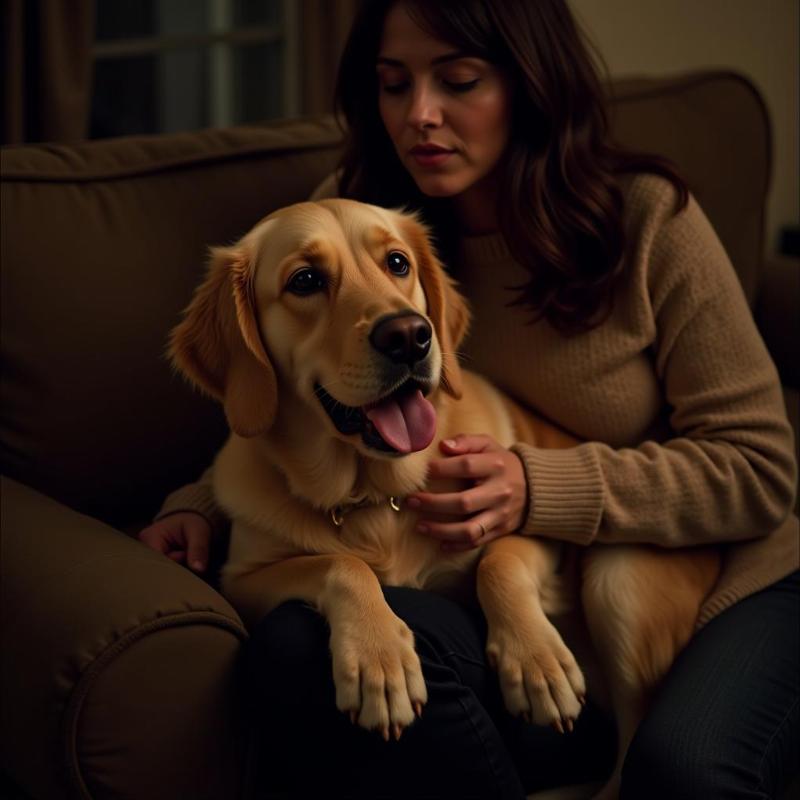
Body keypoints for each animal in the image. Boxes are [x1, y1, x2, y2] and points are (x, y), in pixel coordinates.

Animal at [169, 197, 720, 796]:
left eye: (397, 263)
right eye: (305, 280)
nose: (409, 335)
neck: (375, 494)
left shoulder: (531, 526)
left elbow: (499, 563)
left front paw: (536, 661)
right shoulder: (241, 579)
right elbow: (342, 564)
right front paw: (379, 656)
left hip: (615, 576)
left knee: (630, 737)